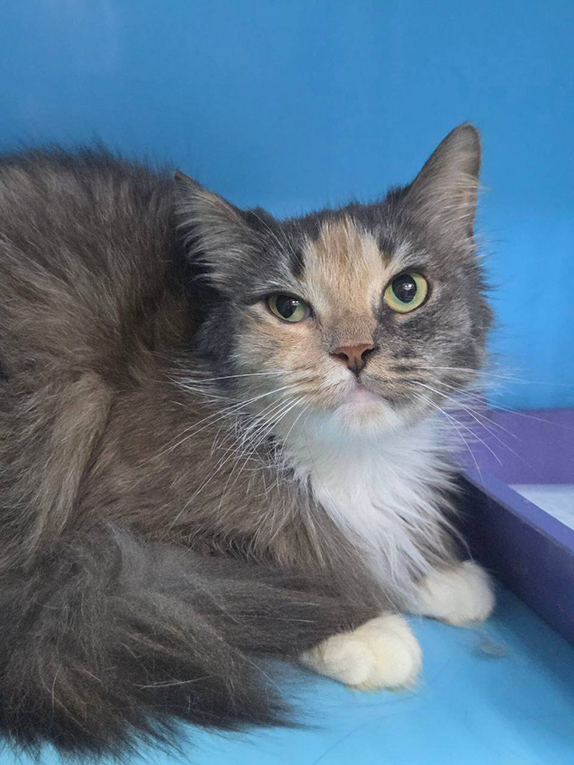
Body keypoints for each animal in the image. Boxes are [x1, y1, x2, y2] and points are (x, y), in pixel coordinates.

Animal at [0, 124, 494, 758]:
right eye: (287, 307)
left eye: (406, 290)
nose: (354, 351)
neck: (351, 458)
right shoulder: (117, 539)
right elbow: (267, 576)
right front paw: (364, 628)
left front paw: (440, 577)